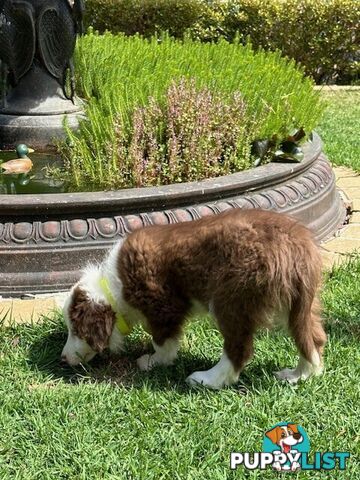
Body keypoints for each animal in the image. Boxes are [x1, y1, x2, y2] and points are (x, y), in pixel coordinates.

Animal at [61, 208, 326, 388]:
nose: (62, 359)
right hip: (299, 303)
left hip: (232, 297)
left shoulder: (163, 305)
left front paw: (153, 361)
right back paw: (299, 375)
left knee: (239, 348)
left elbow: (162, 341)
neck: (112, 287)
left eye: (76, 330)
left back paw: (207, 379)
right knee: (313, 338)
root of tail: (296, 243)